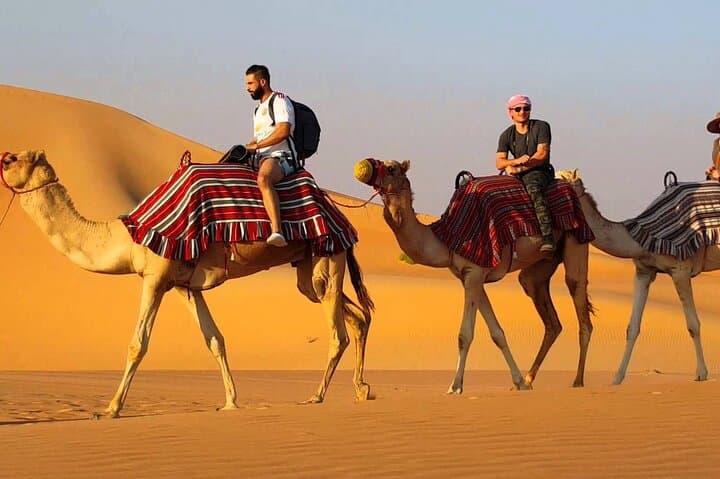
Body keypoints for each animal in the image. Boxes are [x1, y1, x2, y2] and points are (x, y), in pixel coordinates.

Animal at [1, 150, 374, 418]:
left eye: (11, 160)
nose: (0, 159)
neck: (129, 237)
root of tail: (338, 212)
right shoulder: (184, 285)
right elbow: (215, 340)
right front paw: (230, 401)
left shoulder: (155, 276)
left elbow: (138, 344)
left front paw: (110, 408)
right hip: (311, 267)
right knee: (357, 316)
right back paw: (361, 389)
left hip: (327, 256)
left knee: (339, 331)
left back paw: (316, 396)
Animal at [353, 158, 594, 392]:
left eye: (391, 168)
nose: (364, 168)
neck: (446, 238)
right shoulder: (472, 278)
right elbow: (497, 332)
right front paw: (517, 382)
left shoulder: (474, 273)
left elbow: (464, 335)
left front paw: (455, 385)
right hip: (541, 264)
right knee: (549, 315)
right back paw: (530, 379)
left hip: (576, 239)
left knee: (579, 299)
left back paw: (578, 380)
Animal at [556, 169, 720, 384]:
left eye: (560, 180)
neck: (640, 238)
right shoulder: (644, 271)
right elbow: (632, 327)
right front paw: (617, 378)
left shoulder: (680, 270)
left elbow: (693, 325)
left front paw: (701, 373)